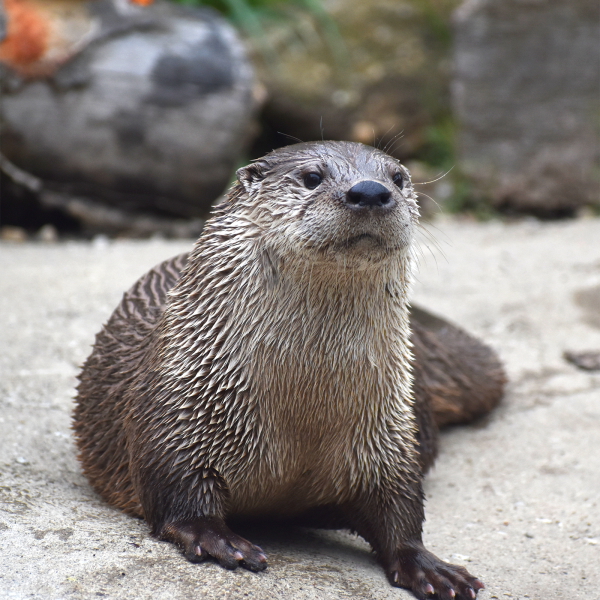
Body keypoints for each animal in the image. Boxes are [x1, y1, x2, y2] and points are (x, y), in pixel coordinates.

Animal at [72, 142, 504, 600]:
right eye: (312, 177)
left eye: (398, 177)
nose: (370, 191)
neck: (304, 413)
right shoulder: (178, 404)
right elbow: (177, 492)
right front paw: (217, 539)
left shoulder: (387, 433)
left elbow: (399, 505)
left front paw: (428, 566)